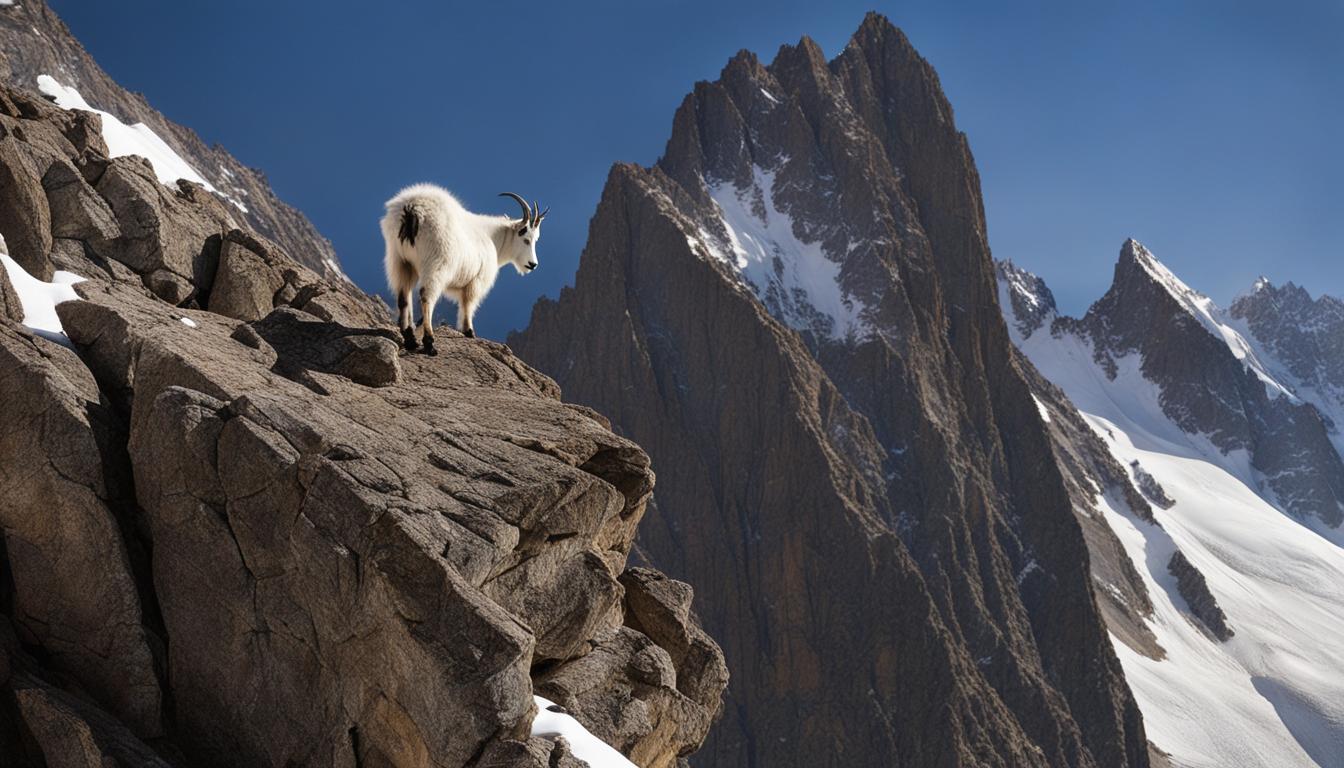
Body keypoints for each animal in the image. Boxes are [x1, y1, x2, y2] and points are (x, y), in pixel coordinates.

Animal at [381, 184, 542, 355]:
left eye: (536, 239)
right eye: (526, 239)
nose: (532, 264)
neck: (492, 238)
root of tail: (412, 210)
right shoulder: (477, 280)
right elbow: (468, 302)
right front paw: (469, 331)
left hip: (399, 260)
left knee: (403, 296)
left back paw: (410, 340)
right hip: (435, 264)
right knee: (426, 295)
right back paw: (429, 343)